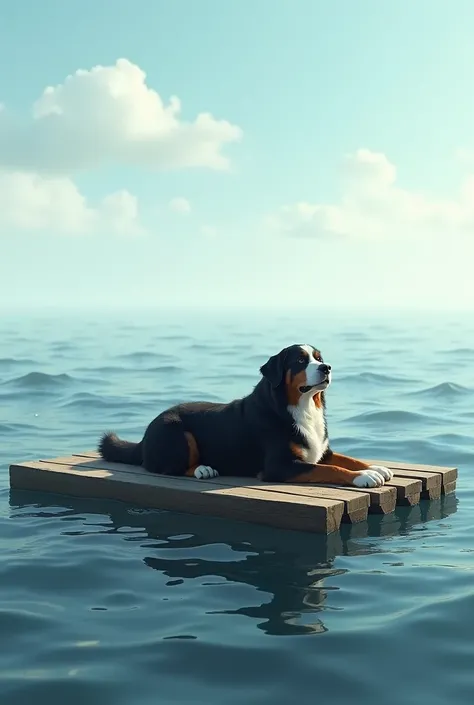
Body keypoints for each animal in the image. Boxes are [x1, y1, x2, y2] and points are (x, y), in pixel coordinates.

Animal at [98, 344, 394, 486]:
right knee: (169, 468)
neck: (302, 407)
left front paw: (375, 468)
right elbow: (331, 468)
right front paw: (363, 477)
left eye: (319, 358)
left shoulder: (320, 449)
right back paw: (204, 469)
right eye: (300, 360)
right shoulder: (280, 465)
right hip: (177, 430)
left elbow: (347, 459)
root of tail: (144, 437)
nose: (327, 368)